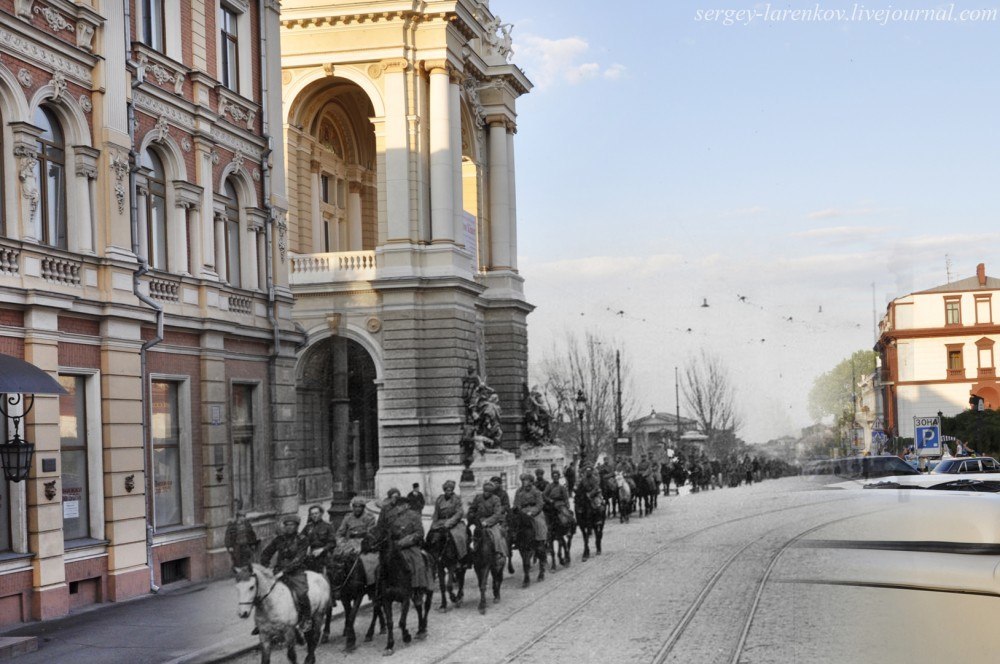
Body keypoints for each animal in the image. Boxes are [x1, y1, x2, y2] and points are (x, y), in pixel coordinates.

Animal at [366, 528, 432, 656]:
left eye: (380, 530)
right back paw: (420, 629)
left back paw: (423, 628)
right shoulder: (386, 600)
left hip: (429, 589)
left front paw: (406, 636)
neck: (394, 572)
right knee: (418, 607)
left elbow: (401, 622)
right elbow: (390, 622)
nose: (365, 543)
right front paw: (389, 645)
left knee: (426, 607)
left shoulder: (405, 599)